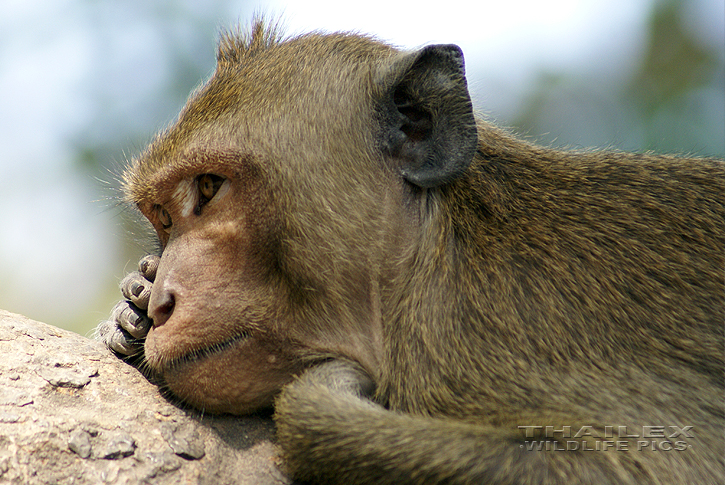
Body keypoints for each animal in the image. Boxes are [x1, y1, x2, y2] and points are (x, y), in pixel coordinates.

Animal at [97, 19, 724, 484]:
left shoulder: (462, 344)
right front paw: (130, 309)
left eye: (209, 187)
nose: (163, 304)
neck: (428, 258)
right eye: (164, 218)